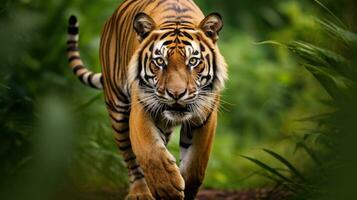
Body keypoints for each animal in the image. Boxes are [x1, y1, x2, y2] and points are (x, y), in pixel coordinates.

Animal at [66, 0, 227, 200]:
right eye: (160, 61)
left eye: (193, 61)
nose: (176, 94)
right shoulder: (141, 109)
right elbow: (150, 152)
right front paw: (169, 188)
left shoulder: (206, 116)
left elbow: (196, 163)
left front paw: (186, 187)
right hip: (118, 110)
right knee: (131, 158)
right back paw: (140, 192)